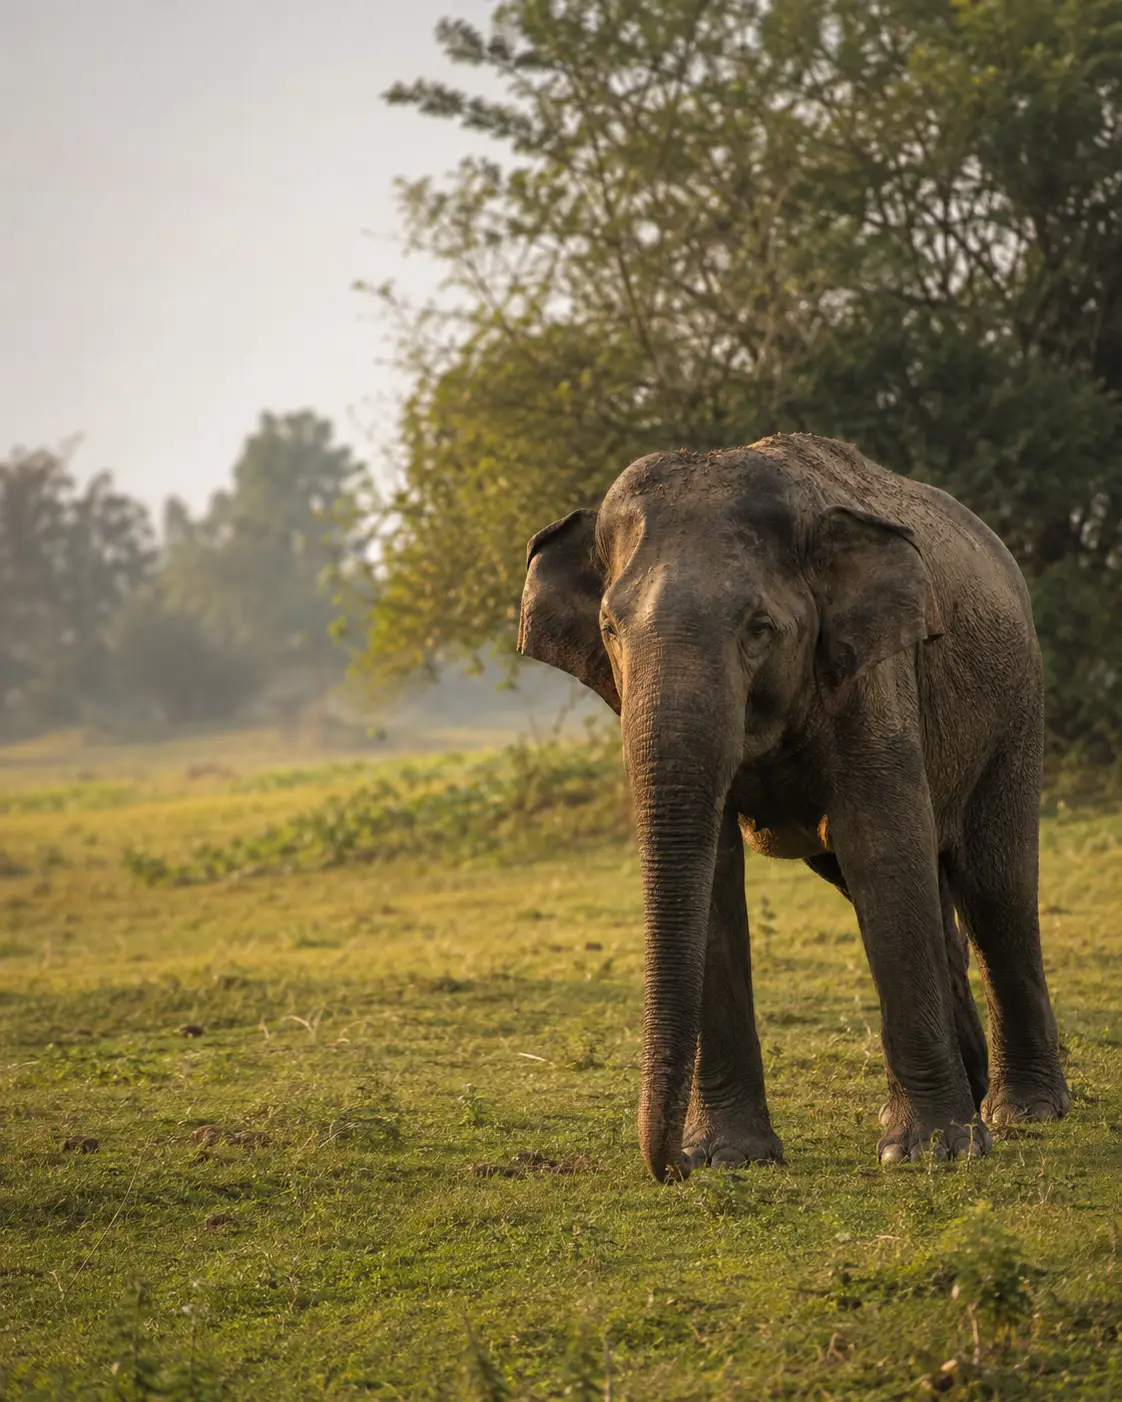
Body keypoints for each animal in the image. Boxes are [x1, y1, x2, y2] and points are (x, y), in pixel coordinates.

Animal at [518, 433, 1070, 1182]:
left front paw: (931, 1150)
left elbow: (882, 846)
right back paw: (971, 1090)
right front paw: (730, 1157)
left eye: (760, 629)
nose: (669, 1169)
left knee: (995, 884)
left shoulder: (874, 676)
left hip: (1015, 704)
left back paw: (1024, 1112)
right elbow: (717, 874)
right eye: (609, 627)